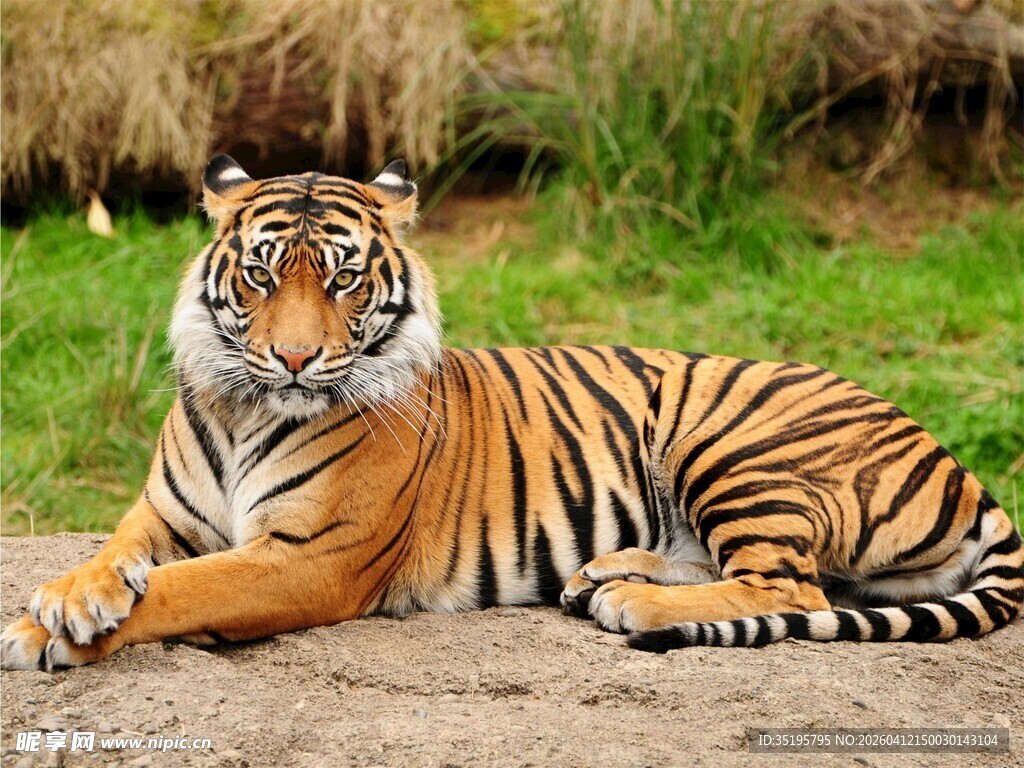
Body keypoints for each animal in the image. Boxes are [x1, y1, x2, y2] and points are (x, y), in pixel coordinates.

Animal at [1, 156, 1021, 671]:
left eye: (341, 278)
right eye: (260, 273)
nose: (293, 358)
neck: (248, 405)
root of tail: (957, 463)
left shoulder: (308, 558)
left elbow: (183, 590)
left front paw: (44, 631)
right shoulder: (163, 514)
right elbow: (119, 555)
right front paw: (66, 599)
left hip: (729, 439)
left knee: (794, 588)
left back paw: (630, 600)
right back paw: (603, 574)